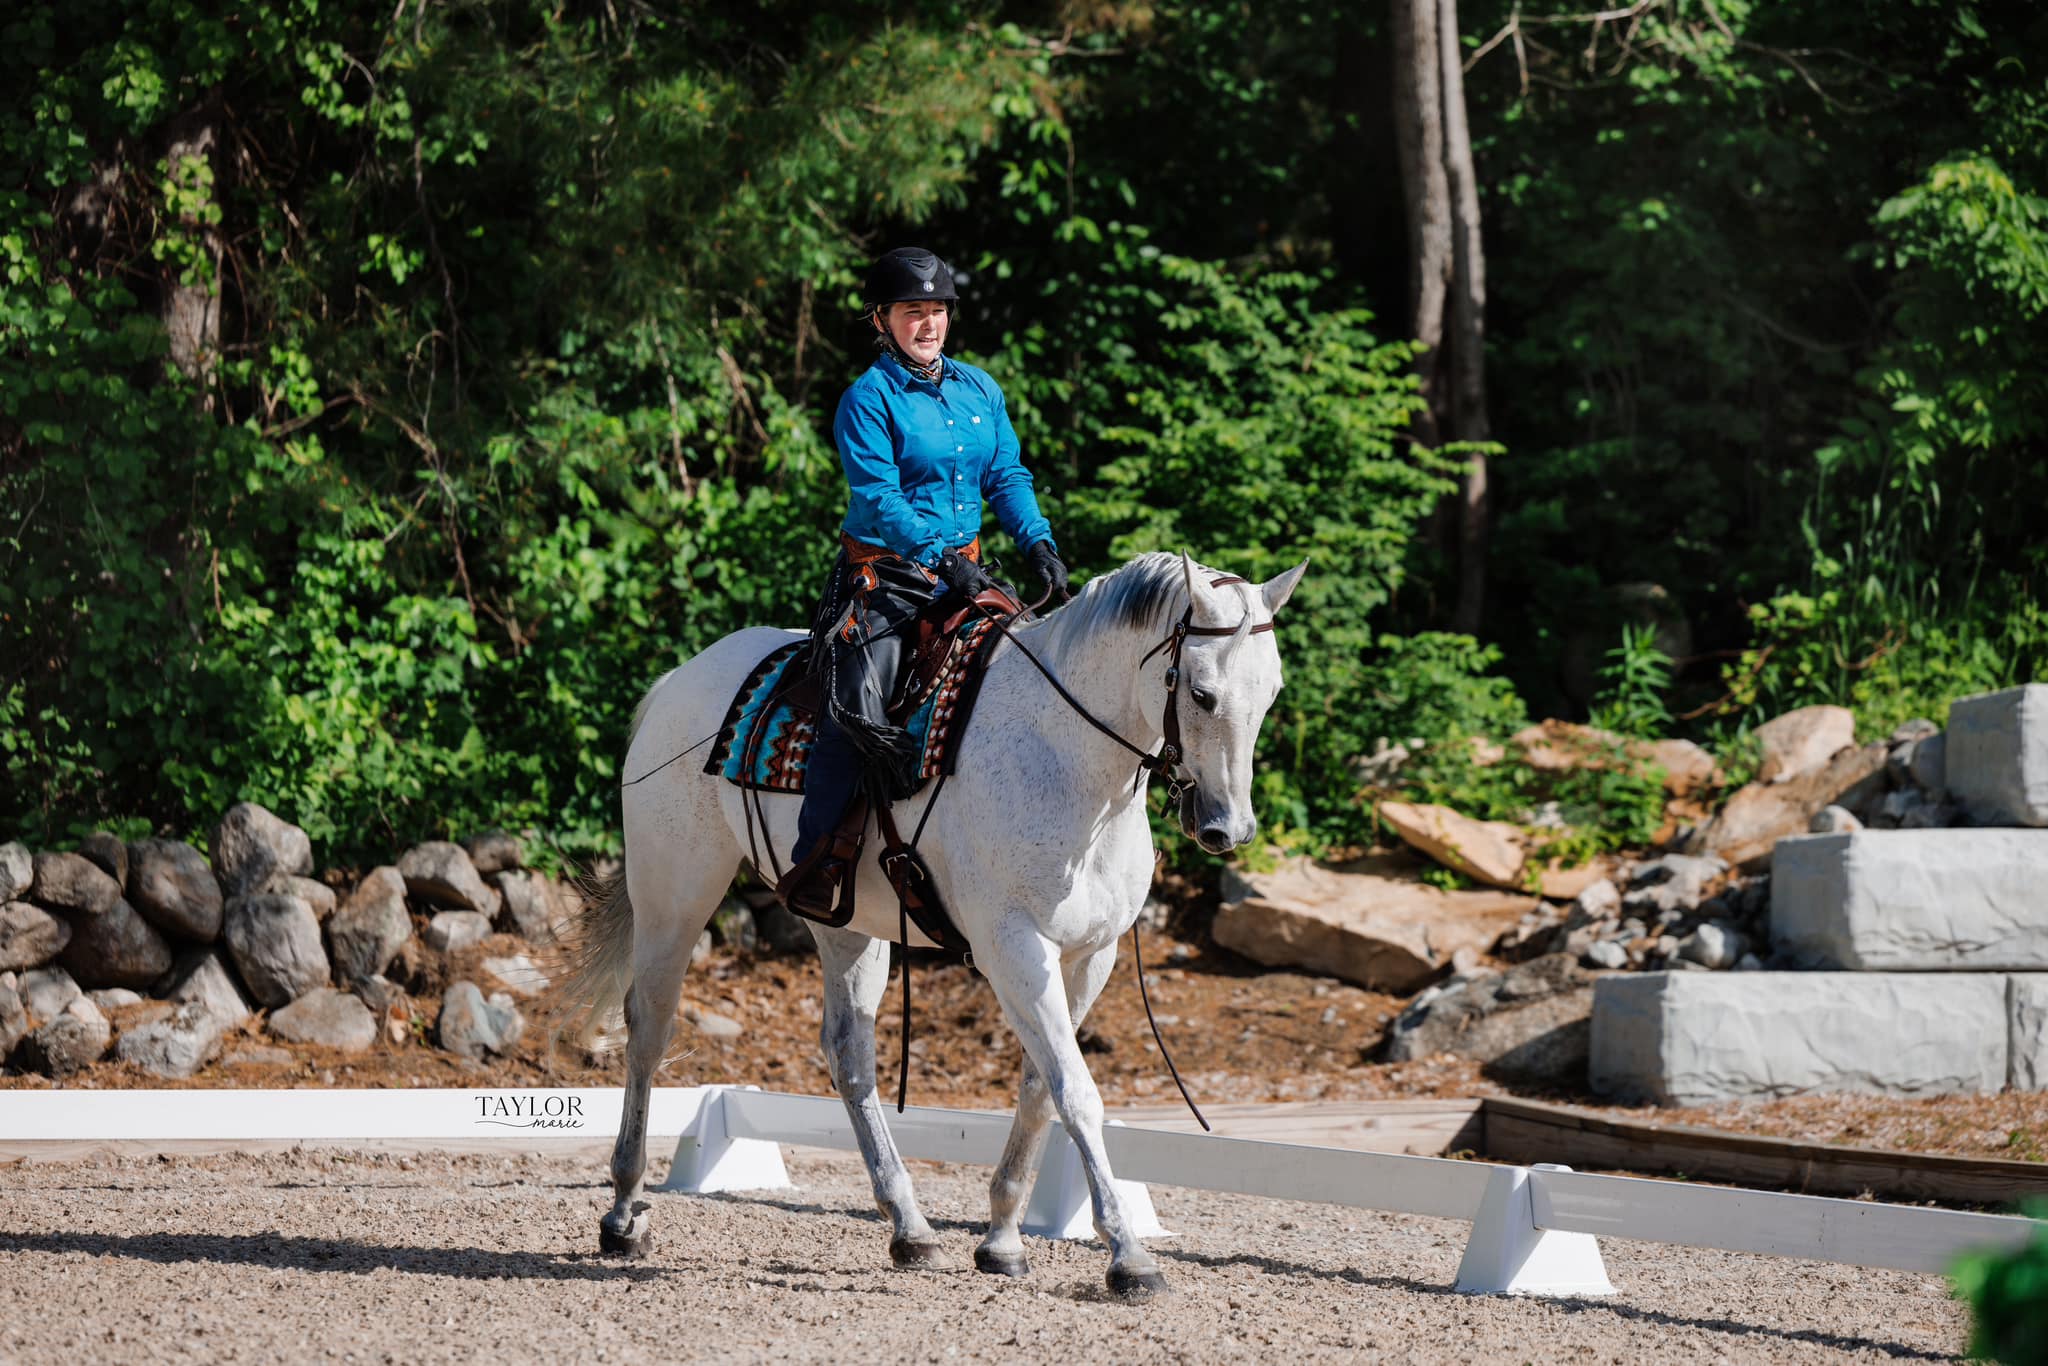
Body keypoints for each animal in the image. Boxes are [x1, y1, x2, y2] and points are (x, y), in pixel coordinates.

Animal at [561, 548, 1302, 1302]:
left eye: (1271, 694)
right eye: (1202, 694)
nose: (1228, 828)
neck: (1066, 757)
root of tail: (680, 679)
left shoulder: (1088, 956)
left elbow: (1041, 1089)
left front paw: (1002, 1240)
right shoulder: (1014, 947)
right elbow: (1076, 1093)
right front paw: (1129, 1255)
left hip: (845, 926)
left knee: (848, 1054)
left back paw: (910, 1227)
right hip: (675, 895)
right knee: (649, 1029)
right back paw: (624, 1213)